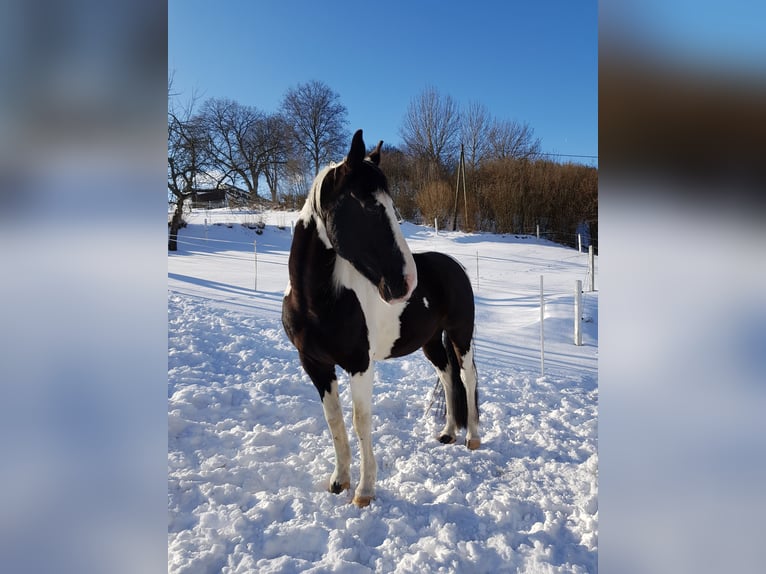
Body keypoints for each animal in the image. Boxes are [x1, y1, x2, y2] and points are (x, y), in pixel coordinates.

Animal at [282, 130, 480, 508]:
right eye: (368, 205)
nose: (406, 282)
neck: (317, 301)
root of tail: (455, 265)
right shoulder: (314, 363)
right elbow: (334, 420)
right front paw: (339, 482)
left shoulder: (360, 364)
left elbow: (360, 421)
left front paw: (364, 491)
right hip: (431, 343)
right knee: (448, 377)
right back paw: (448, 433)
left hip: (460, 335)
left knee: (467, 377)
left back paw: (473, 439)